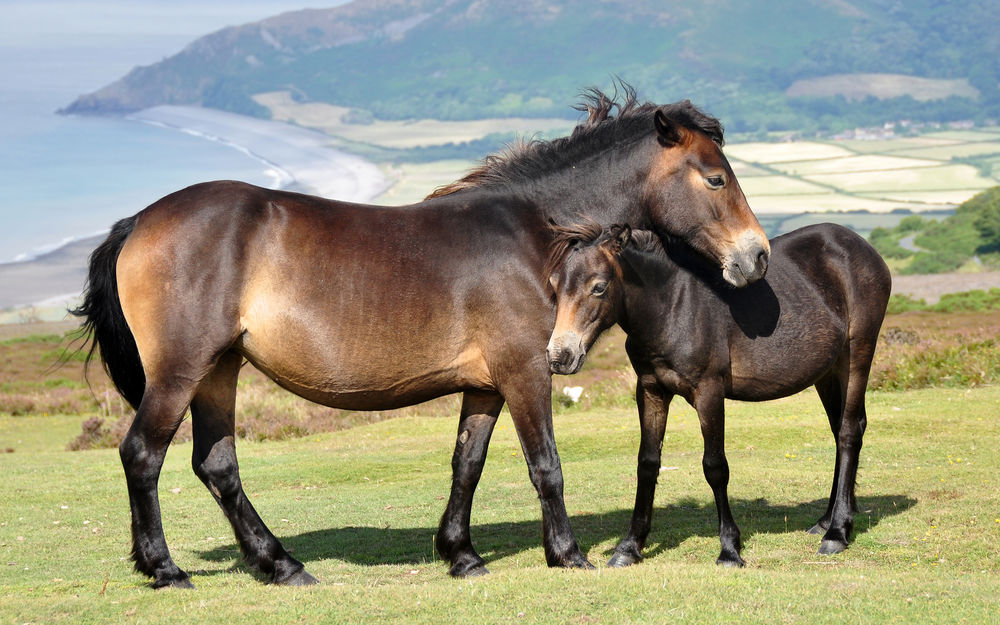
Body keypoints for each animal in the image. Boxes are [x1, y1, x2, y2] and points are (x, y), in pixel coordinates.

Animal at [73, 86, 770, 588]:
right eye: (715, 178)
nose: (756, 256)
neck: (532, 235)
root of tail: (141, 221)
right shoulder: (526, 369)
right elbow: (545, 464)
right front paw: (567, 554)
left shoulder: (487, 383)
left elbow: (468, 464)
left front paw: (461, 555)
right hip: (182, 369)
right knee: (143, 455)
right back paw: (165, 568)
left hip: (219, 368)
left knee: (216, 465)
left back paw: (282, 565)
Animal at [544, 222, 890, 566]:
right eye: (555, 285)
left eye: (598, 287)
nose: (560, 356)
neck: (674, 306)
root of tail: (861, 246)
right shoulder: (651, 390)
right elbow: (647, 463)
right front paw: (629, 547)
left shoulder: (709, 392)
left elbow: (715, 466)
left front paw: (729, 548)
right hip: (827, 372)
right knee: (840, 431)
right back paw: (826, 520)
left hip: (857, 354)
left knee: (849, 431)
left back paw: (837, 533)